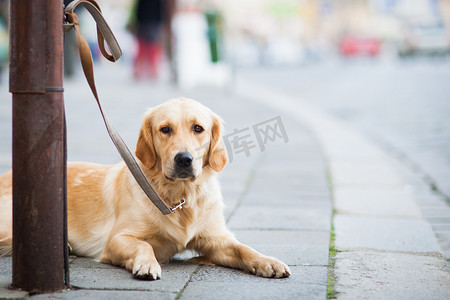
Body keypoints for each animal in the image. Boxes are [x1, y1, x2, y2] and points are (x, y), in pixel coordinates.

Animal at [0, 98, 290, 278]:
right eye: (165, 129)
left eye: (198, 128)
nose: (184, 159)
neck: (179, 197)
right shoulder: (118, 239)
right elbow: (144, 246)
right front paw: (147, 264)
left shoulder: (216, 239)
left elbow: (244, 248)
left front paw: (268, 261)